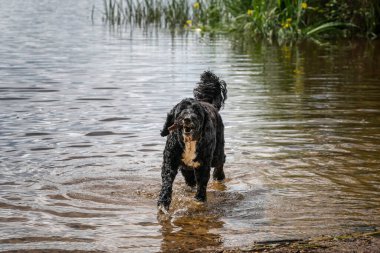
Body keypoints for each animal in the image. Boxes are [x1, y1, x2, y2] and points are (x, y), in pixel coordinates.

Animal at [157, 70, 226, 212]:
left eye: (196, 111)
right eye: (181, 110)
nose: (187, 118)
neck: (189, 142)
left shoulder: (203, 163)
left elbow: (202, 182)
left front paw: (199, 200)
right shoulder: (170, 161)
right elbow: (167, 180)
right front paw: (163, 201)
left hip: (216, 153)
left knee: (220, 161)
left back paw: (219, 176)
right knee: (187, 173)